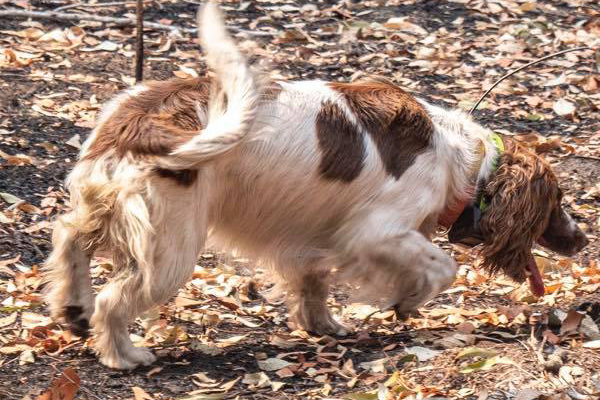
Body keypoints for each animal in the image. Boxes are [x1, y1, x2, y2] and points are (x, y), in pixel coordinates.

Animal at [44, 3, 588, 370]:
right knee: (115, 298)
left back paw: (74, 307)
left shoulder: (314, 238)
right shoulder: (377, 232)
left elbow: (314, 282)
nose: (582, 240)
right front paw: (408, 301)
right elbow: (442, 267)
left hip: (107, 210)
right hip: (170, 250)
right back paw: (123, 354)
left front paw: (323, 325)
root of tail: (136, 121)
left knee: (68, 239)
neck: (465, 161)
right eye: (558, 202)